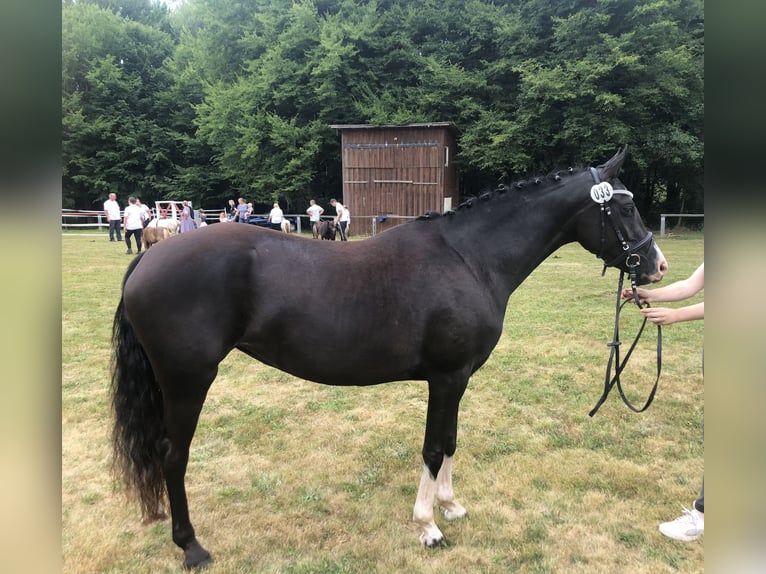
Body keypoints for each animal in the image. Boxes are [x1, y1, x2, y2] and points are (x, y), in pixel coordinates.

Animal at [111, 148, 668, 572]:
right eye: (623, 208)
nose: (657, 265)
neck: (469, 258)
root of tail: (149, 255)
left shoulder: (458, 380)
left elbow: (450, 441)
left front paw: (451, 506)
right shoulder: (446, 378)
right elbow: (433, 448)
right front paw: (428, 527)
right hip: (187, 381)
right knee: (173, 455)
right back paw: (192, 547)